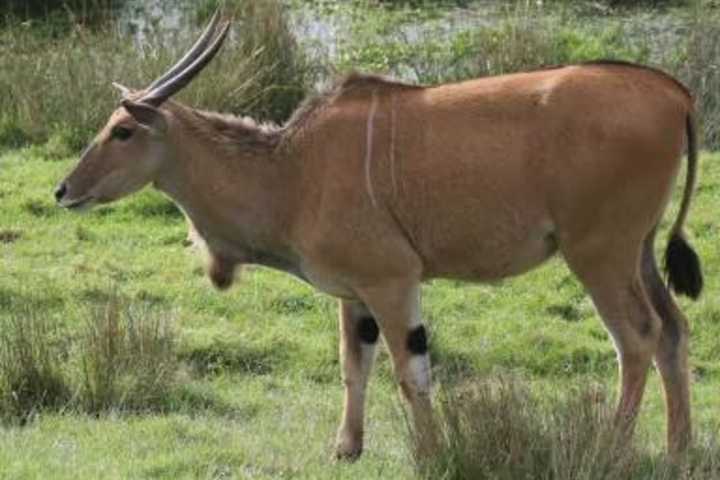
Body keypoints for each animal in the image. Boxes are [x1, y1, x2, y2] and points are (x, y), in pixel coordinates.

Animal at [56, 11, 704, 460]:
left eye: (121, 131)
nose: (64, 190)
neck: (292, 171)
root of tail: (675, 95)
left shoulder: (393, 280)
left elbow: (410, 372)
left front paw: (435, 452)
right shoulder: (355, 293)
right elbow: (354, 363)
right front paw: (347, 448)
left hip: (598, 251)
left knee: (637, 337)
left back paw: (612, 446)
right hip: (639, 249)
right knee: (673, 329)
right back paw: (678, 448)